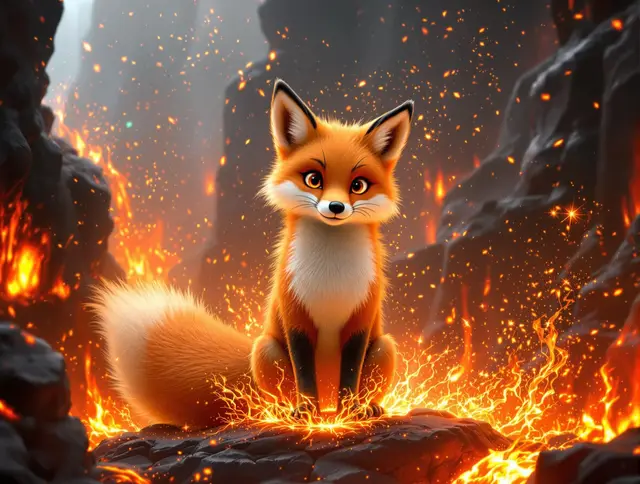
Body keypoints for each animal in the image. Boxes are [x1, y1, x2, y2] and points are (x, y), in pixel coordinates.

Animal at [92, 79, 414, 429]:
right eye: (314, 179)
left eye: (358, 186)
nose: (336, 207)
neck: (331, 276)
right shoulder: (294, 316)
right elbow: (304, 376)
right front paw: (305, 412)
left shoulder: (360, 321)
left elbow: (350, 376)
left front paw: (351, 411)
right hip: (266, 349)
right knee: (275, 396)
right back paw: (292, 412)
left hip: (385, 348)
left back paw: (361, 409)